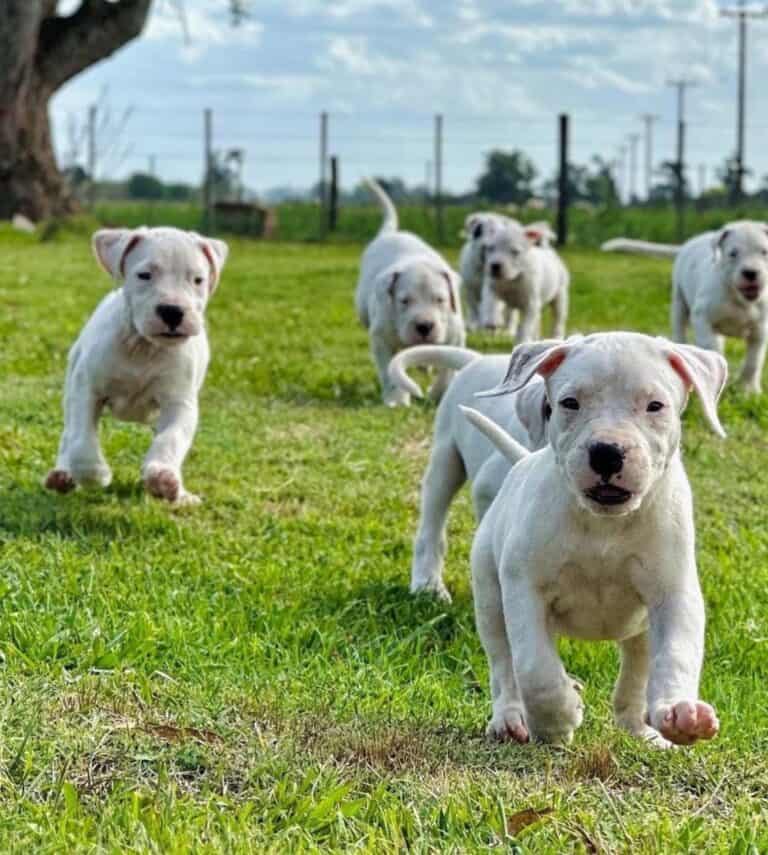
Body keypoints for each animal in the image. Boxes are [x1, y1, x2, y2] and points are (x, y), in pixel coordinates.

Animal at [44, 227, 228, 508]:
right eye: (144, 275)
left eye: (198, 280)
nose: (172, 311)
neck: (143, 346)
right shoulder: (86, 391)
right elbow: (82, 439)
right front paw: (94, 474)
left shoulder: (179, 404)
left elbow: (171, 438)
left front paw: (162, 476)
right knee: (69, 435)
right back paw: (63, 475)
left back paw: (181, 494)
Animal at [354, 179, 462, 406]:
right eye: (404, 301)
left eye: (440, 300)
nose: (425, 326)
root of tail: (390, 234)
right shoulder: (381, 338)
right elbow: (389, 371)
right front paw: (396, 399)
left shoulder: (455, 334)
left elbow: (446, 369)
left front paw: (438, 394)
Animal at [462, 334, 728, 748]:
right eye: (570, 403)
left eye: (655, 406)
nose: (606, 452)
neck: (604, 526)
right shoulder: (524, 590)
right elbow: (535, 668)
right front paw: (557, 719)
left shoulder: (673, 592)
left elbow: (677, 652)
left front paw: (679, 711)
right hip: (490, 597)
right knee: (504, 663)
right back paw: (510, 718)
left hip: (640, 630)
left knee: (636, 673)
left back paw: (643, 729)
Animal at [672, 221, 768, 394]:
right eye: (733, 254)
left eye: (764, 252)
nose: (750, 272)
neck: (738, 298)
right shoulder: (701, 317)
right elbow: (712, 348)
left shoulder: (760, 330)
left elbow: (754, 361)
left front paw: (749, 390)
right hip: (679, 300)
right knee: (679, 327)